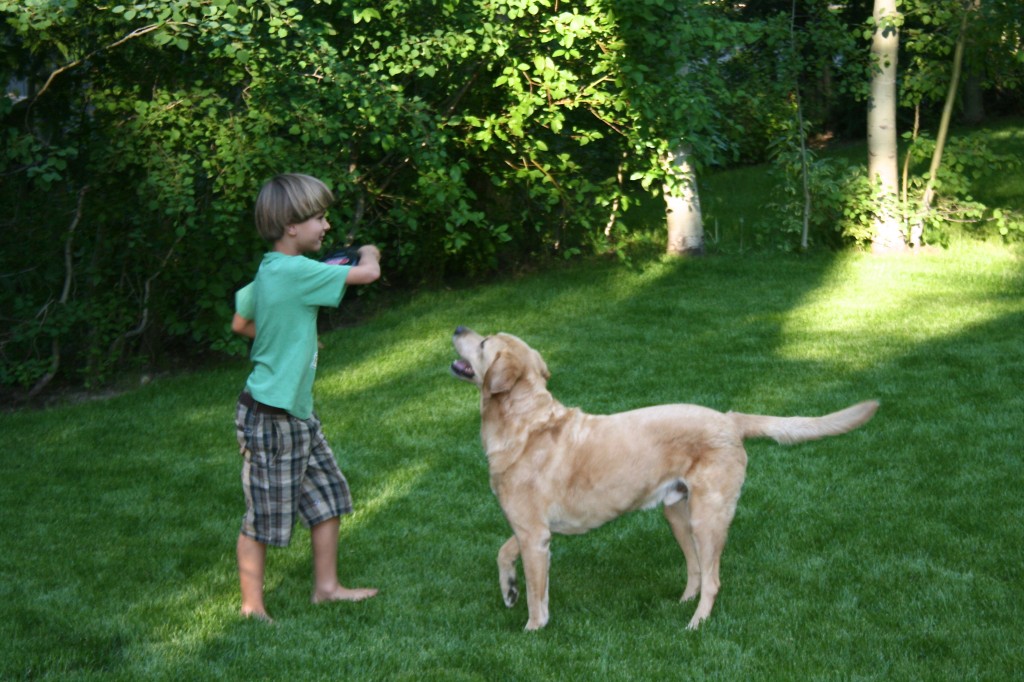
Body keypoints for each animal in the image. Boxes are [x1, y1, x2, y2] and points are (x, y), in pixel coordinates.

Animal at [450, 327, 880, 630]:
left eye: (484, 341)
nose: (457, 327)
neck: (525, 422)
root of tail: (730, 419)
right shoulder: (530, 530)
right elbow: (503, 552)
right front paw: (509, 590)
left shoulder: (535, 535)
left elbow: (537, 596)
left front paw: (532, 628)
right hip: (677, 513)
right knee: (696, 569)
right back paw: (683, 602)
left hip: (708, 517)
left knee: (713, 579)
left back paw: (695, 624)